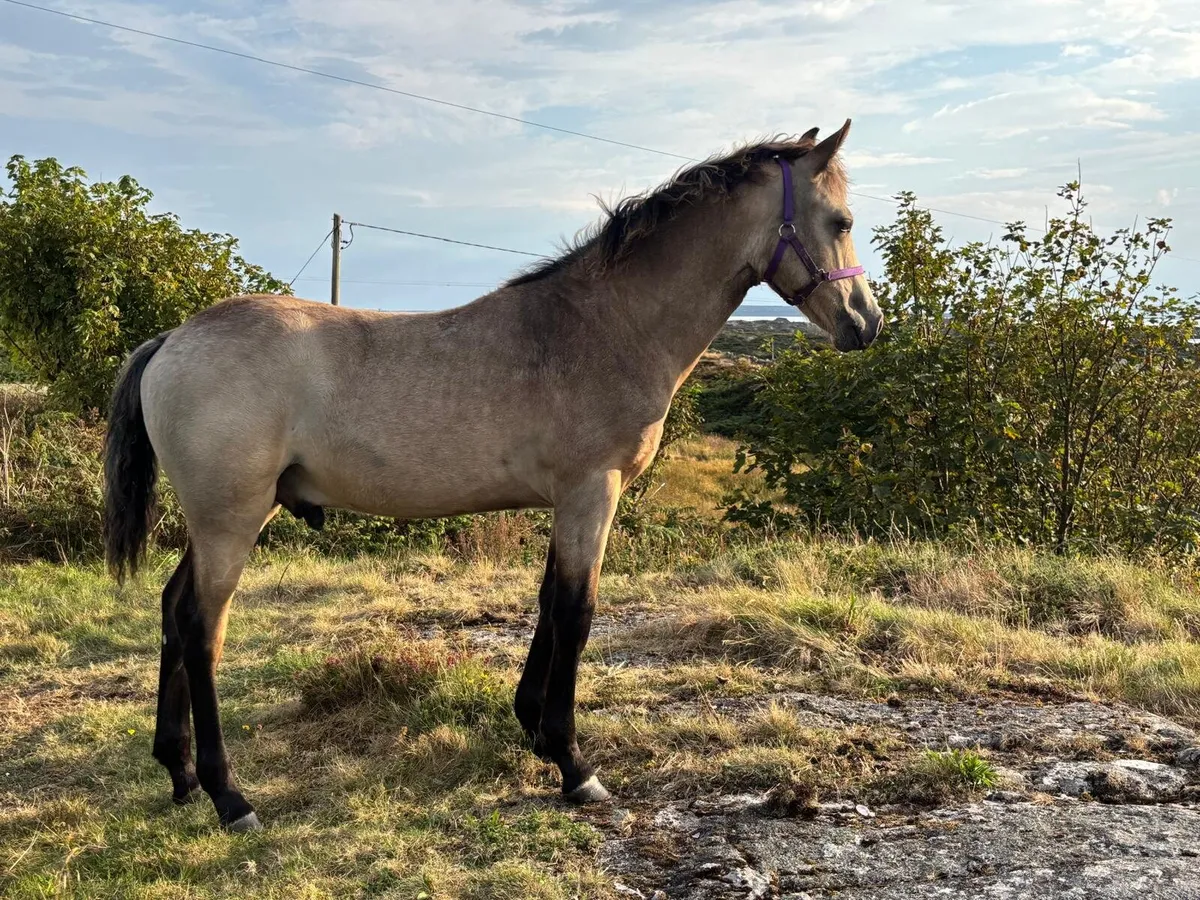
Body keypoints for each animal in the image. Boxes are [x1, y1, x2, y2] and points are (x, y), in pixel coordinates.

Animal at [103, 119, 883, 832]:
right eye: (841, 221)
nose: (867, 324)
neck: (604, 327)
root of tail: (174, 339)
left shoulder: (568, 502)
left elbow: (547, 604)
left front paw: (533, 727)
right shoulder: (590, 495)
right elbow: (576, 613)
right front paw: (573, 766)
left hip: (228, 519)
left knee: (173, 610)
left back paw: (178, 773)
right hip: (230, 521)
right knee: (201, 629)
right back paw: (229, 796)